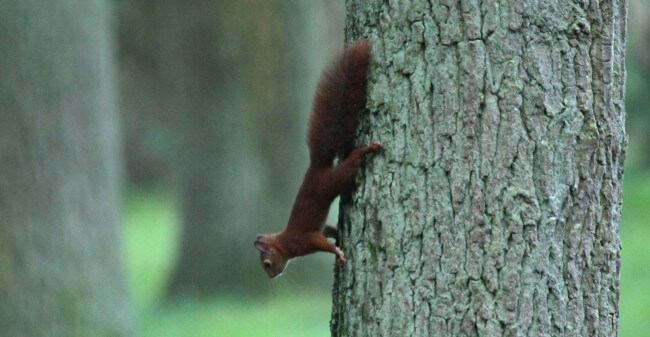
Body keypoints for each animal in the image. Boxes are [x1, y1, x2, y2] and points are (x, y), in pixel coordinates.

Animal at [251, 39, 378, 276]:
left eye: (267, 263)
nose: (272, 277)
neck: (285, 242)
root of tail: (317, 167)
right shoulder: (318, 231)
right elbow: (328, 231)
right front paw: (338, 234)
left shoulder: (305, 240)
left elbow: (324, 245)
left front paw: (337, 253)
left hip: (336, 178)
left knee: (353, 161)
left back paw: (370, 148)